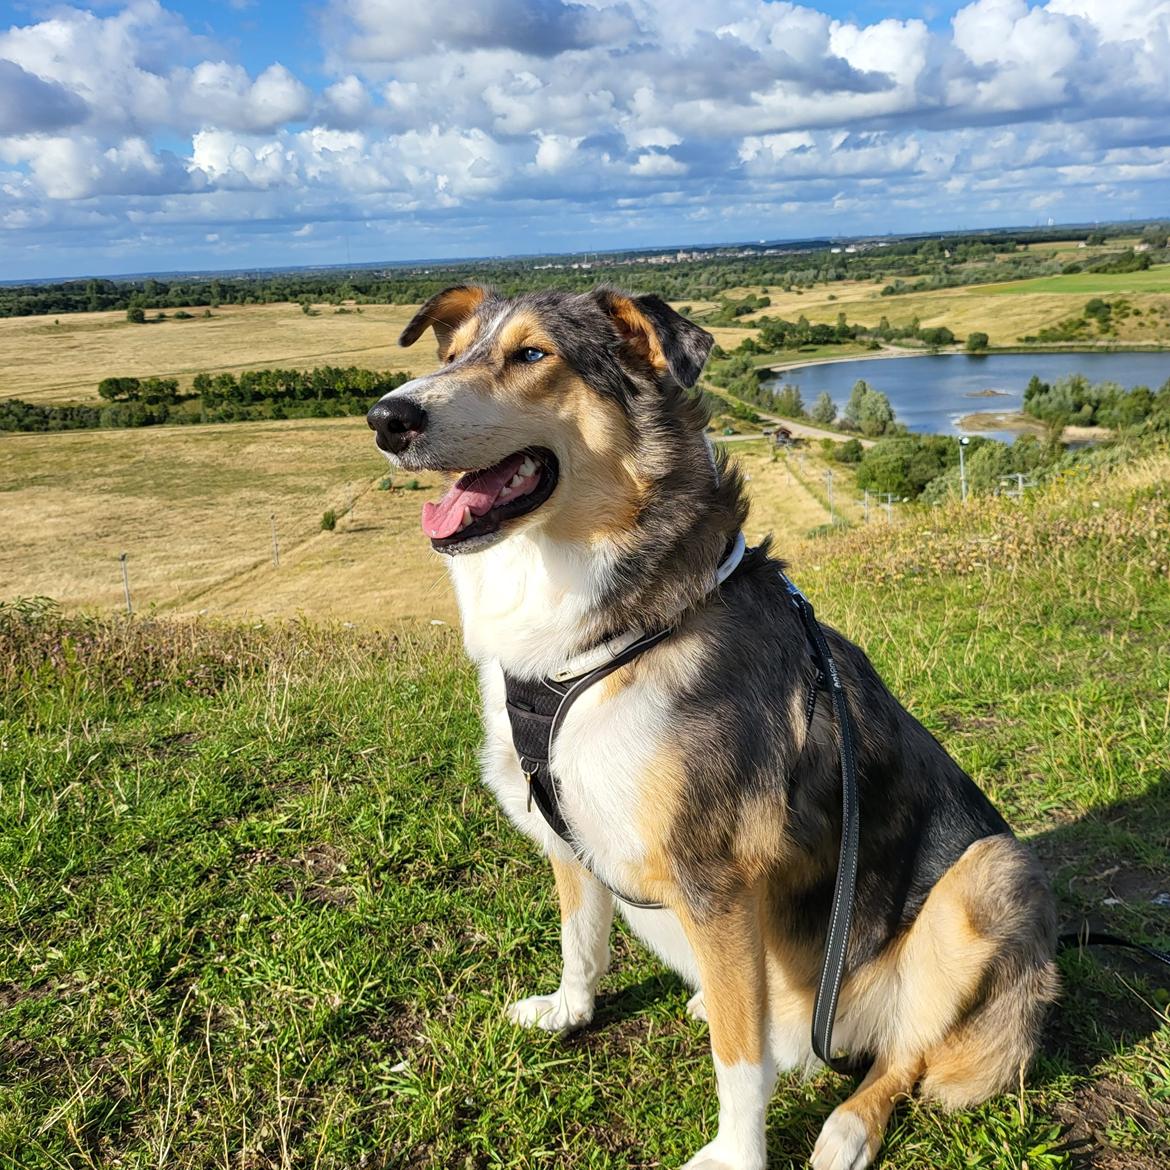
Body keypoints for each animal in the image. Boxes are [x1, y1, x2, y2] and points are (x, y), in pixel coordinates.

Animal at [367, 283, 1062, 1170]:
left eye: (531, 355)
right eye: (451, 355)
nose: (387, 418)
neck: (605, 639)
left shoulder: (717, 876)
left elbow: (740, 1059)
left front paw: (735, 1153)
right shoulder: (570, 835)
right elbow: (580, 941)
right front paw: (568, 1012)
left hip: (986, 876)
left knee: (903, 1051)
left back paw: (848, 1125)